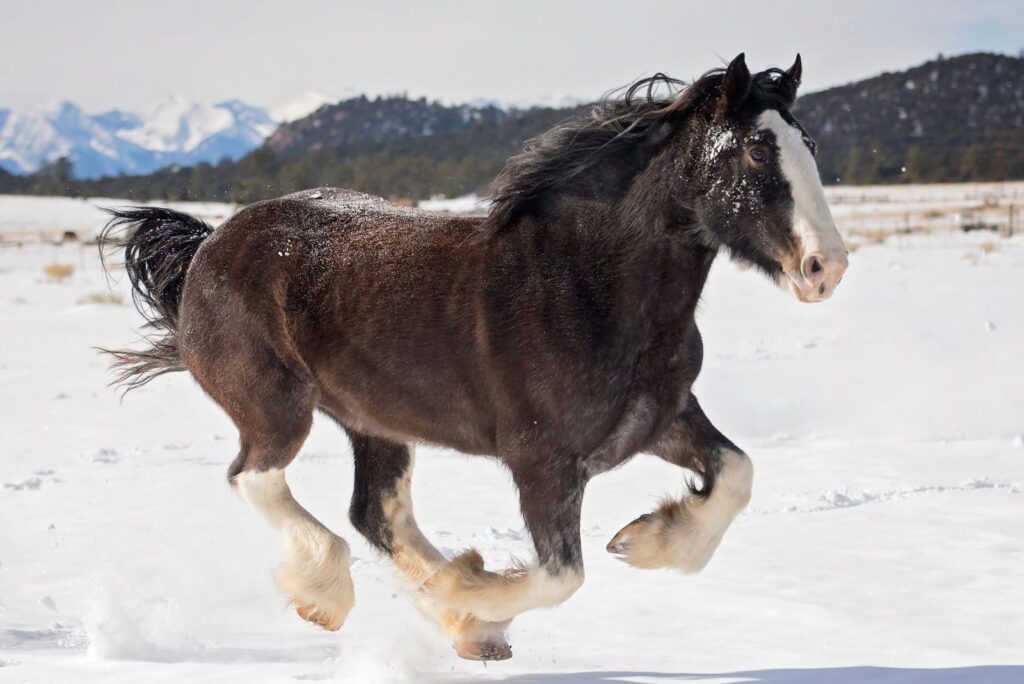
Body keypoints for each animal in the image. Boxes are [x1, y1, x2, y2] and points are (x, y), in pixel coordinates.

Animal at [99, 54, 847, 663]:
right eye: (757, 152)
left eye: (808, 144)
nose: (827, 268)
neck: (590, 288)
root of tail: (209, 244)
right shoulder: (543, 462)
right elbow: (563, 574)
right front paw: (468, 597)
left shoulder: (660, 420)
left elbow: (737, 475)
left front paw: (648, 540)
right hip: (277, 408)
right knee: (256, 479)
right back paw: (336, 596)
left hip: (374, 422)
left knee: (374, 512)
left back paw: (454, 616)